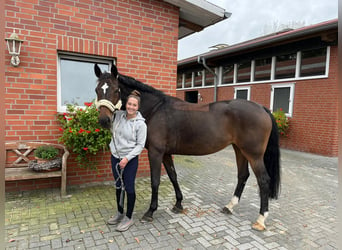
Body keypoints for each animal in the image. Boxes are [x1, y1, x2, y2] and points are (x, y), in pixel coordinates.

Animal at [93, 64, 280, 230]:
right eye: (97, 90)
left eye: (116, 90)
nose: (104, 120)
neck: (156, 110)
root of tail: (262, 108)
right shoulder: (166, 154)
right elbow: (173, 176)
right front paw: (178, 204)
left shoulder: (156, 153)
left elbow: (155, 181)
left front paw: (150, 212)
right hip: (239, 149)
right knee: (243, 175)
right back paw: (229, 206)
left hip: (254, 154)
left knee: (263, 180)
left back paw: (261, 219)